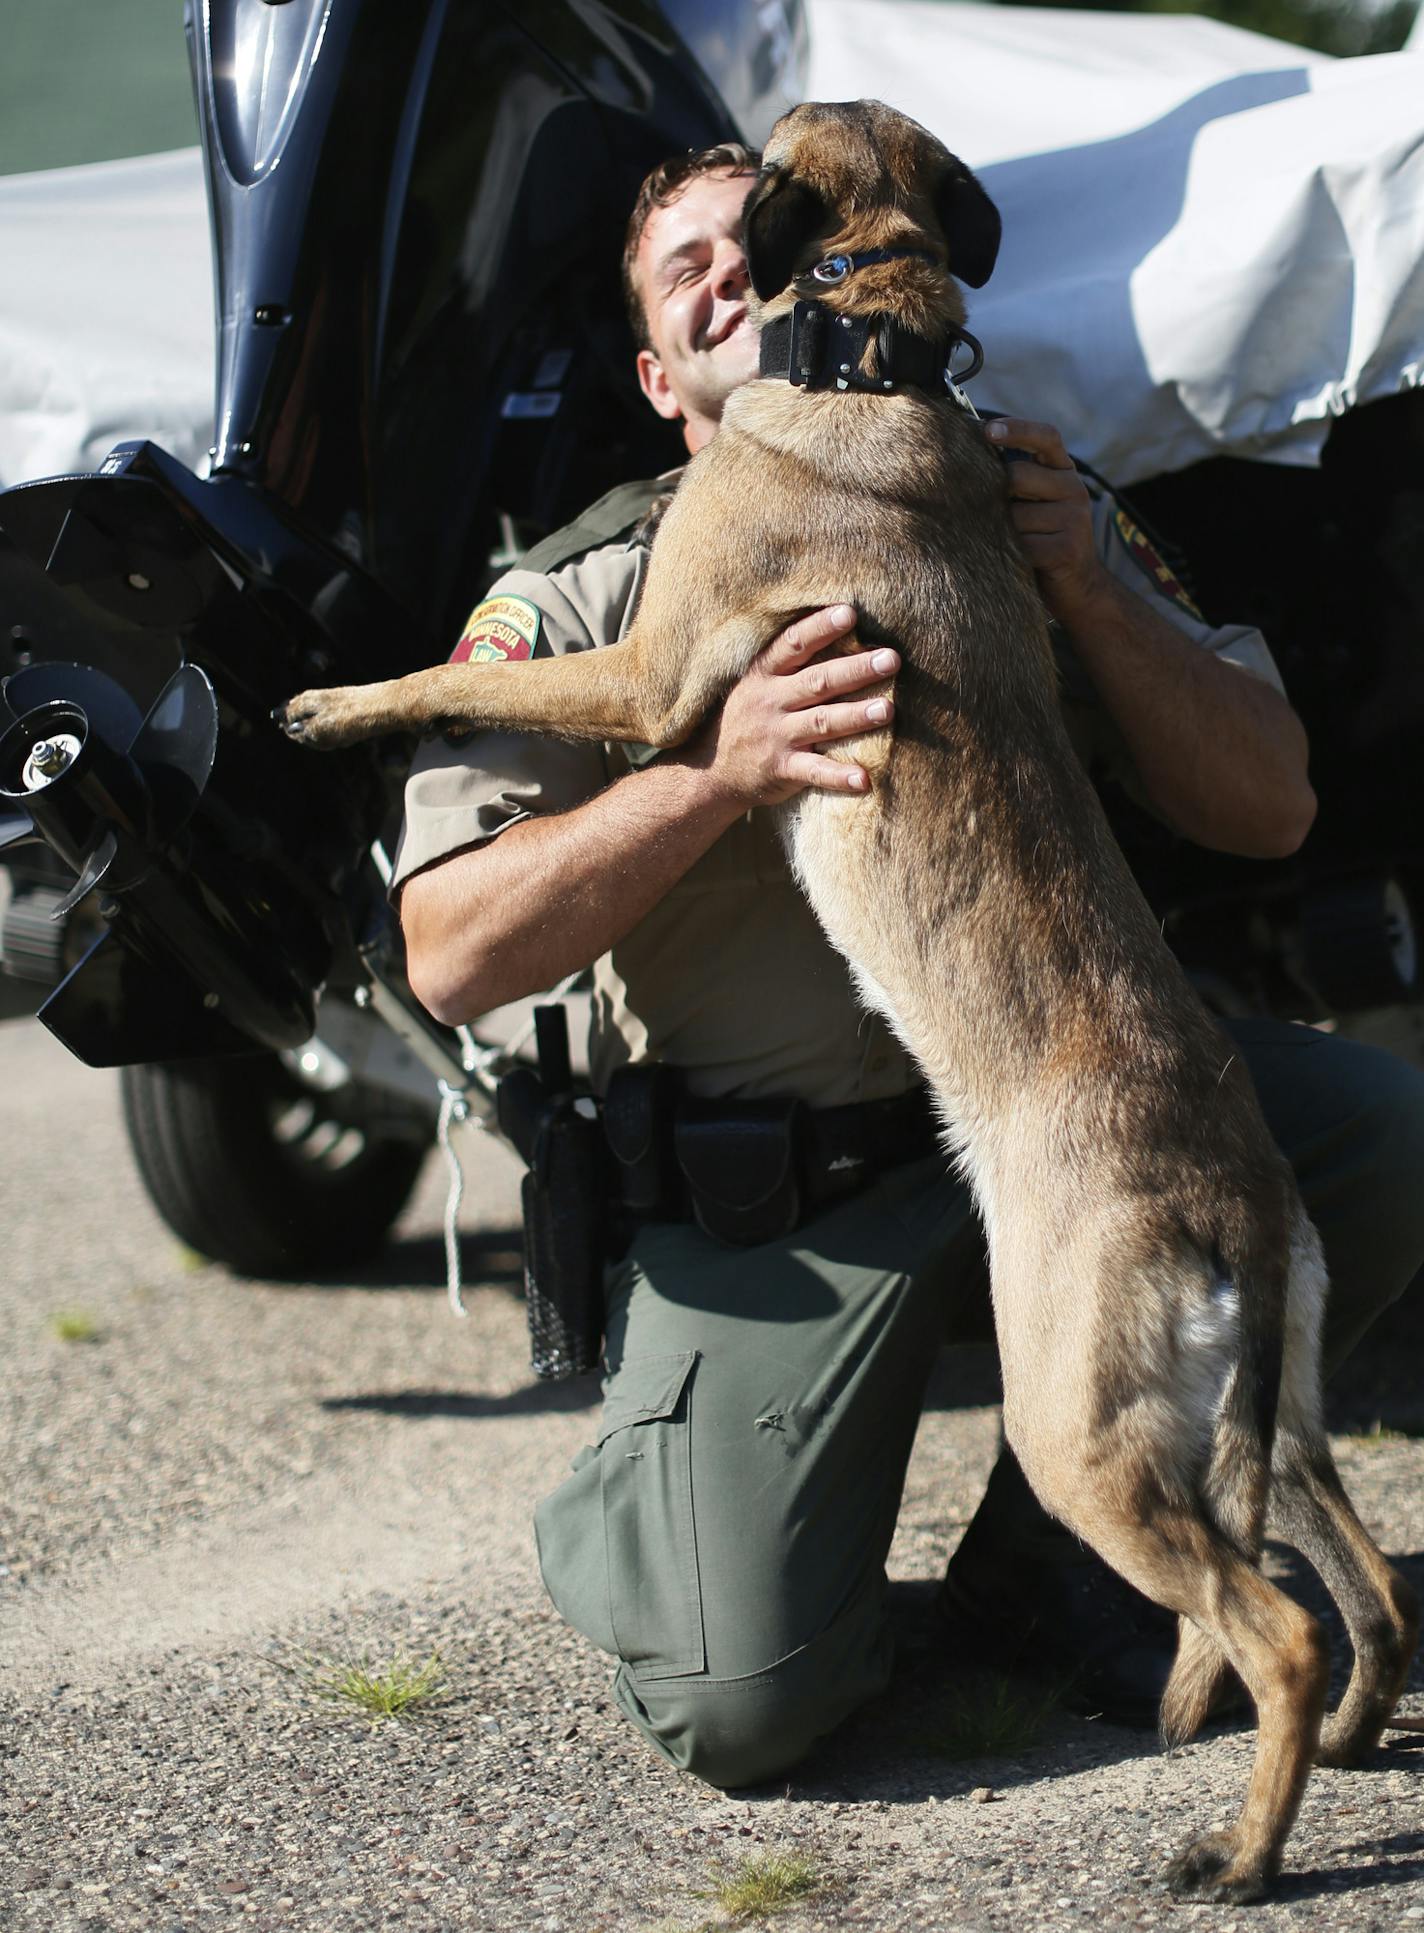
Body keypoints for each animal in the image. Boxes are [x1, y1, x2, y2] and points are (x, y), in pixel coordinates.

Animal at [284, 98, 1414, 1894]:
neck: (873, 349)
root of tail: (1229, 1191)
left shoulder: (649, 673)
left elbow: (445, 675)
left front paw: (331, 701)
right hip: (1269, 1414)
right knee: (1365, 1582)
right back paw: (1355, 1744)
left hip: (1077, 1425)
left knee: (1279, 1624)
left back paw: (1239, 1854)